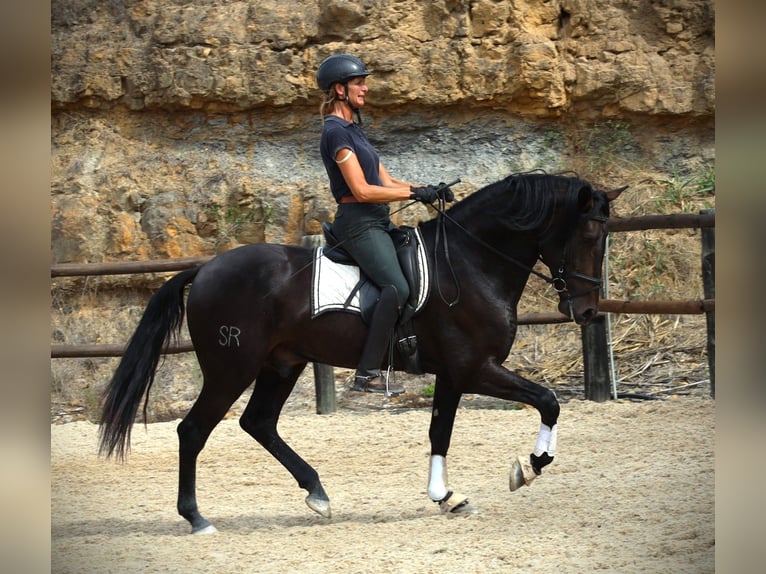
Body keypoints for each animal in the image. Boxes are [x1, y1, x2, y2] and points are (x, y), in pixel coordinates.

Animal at [97, 171, 624, 536]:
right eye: (589, 236)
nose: (587, 310)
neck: (470, 264)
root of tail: (205, 269)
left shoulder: (453, 374)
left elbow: (440, 432)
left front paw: (446, 496)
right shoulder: (476, 369)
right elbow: (549, 401)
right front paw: (529, 467)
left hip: (282, 364)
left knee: (259, 423)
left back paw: (317, 493)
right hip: (232, 368)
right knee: (194, 431)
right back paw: (197, 518)